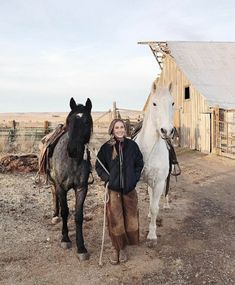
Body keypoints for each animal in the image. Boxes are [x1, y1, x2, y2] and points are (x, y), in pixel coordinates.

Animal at [48, 97, 92, 260]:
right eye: (70, 121)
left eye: (86, 121)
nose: (73, 149)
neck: (73, 161)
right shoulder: (62, 187)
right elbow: (66, 211)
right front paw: (65, 239)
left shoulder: (82, 188)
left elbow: (78, 216)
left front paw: (81, 247)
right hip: (53, 182)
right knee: (54, 195)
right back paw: (55, 215)